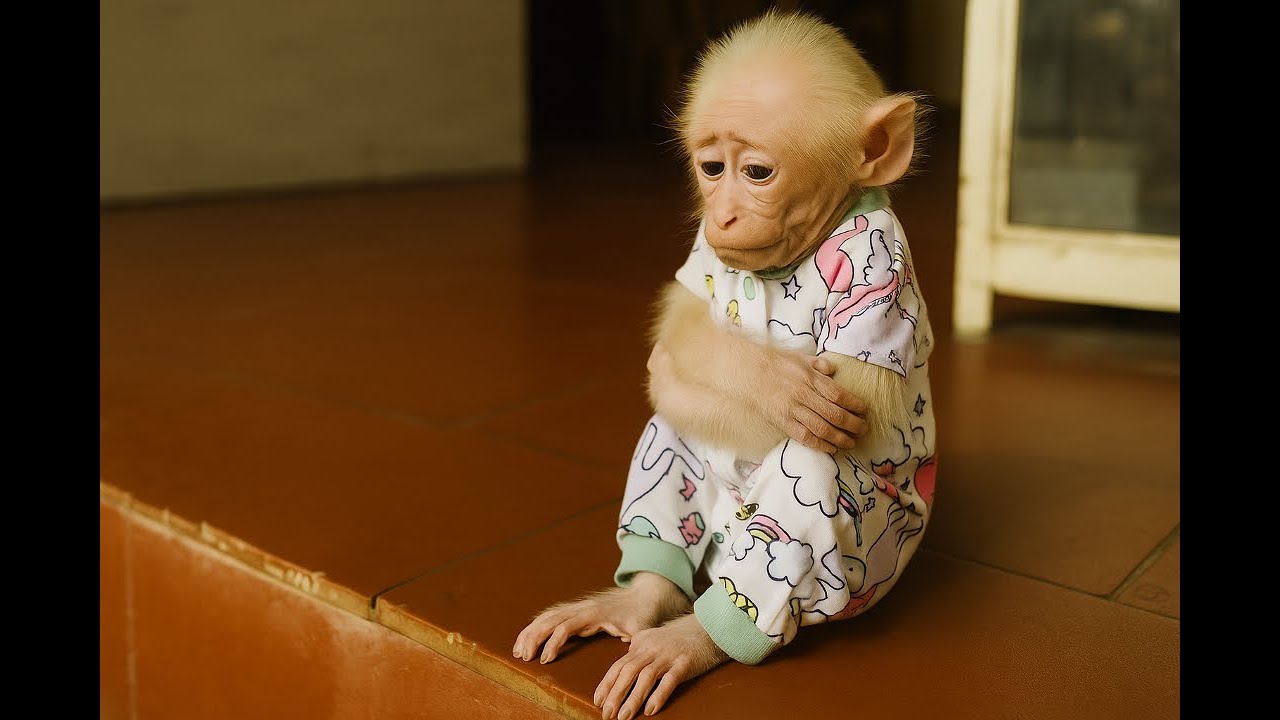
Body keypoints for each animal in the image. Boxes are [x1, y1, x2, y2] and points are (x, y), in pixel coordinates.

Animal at [513, 11, 938, 718]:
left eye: (758, 173)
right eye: (713, 168)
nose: (722, 213)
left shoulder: (880, 256)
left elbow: (859, 408)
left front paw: (796, 398)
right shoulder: (703, 255)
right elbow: (681, 336)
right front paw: (774, 387)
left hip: (870, 570)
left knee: (817, 461)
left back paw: (699, 635)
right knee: (680, 421)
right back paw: (643, 596)